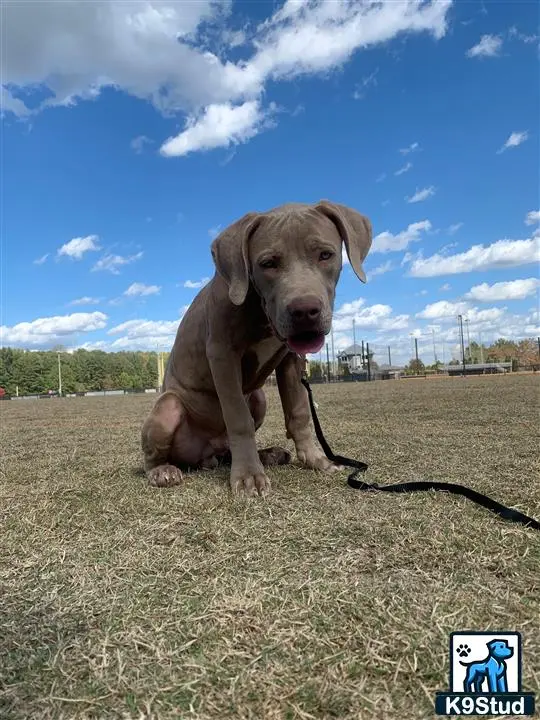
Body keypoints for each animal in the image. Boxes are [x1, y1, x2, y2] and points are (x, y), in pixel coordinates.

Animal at [140, 200, 372, 498]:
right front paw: (249, 476)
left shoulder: (291, 359)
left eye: (325, 255)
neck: (261, 311)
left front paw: (315, 459)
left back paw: (268, 454)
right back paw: (162, 471)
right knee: (156, 453)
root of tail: (206, 456)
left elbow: (298, 412)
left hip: (259, 399)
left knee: (230, 449)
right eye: (267, 263)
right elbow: (239, 419)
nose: (305, 311)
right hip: (168, 407)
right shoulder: (222, 355)